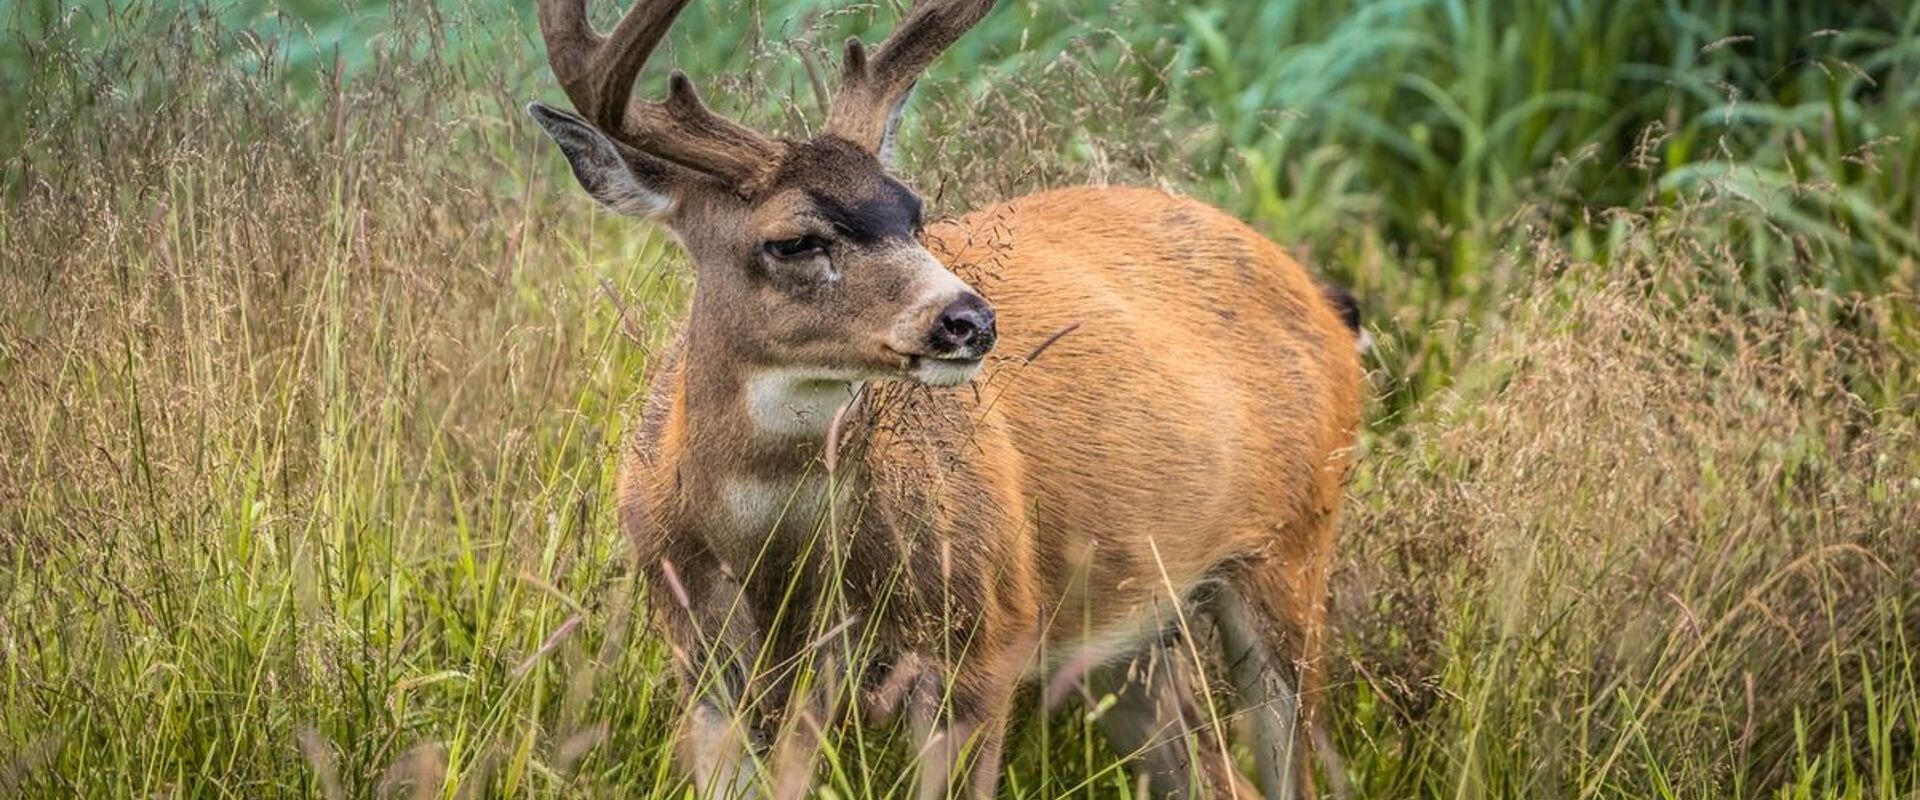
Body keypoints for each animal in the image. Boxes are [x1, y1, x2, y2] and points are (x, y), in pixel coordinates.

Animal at [525, 0, 1366, 797]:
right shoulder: (702, 661)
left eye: (912, 211)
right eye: (793, 240)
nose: (969, 320)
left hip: (1293, 547)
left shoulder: (984, 638)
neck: (772, 557)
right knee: (1216, 776)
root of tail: (1322, 297)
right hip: (1127, 629)